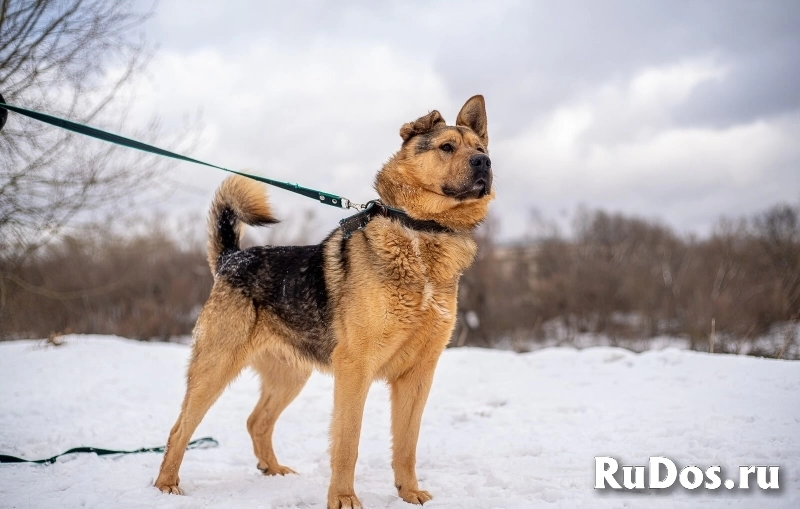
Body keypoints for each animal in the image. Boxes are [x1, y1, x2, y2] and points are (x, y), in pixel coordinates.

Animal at [155, 96, 494, 508]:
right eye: (447, 147)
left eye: (481, 149)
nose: (484, 163)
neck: (420, 231)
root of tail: (231, 258)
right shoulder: (355, 367)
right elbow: (348, 442)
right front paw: (344, 498)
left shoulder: (417, 374)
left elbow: (407, 444)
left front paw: (409, 492)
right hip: (216, 366)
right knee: (179, 429)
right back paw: (166, 485)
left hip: (290, 375)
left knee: (256, 421)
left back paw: (273, 470)